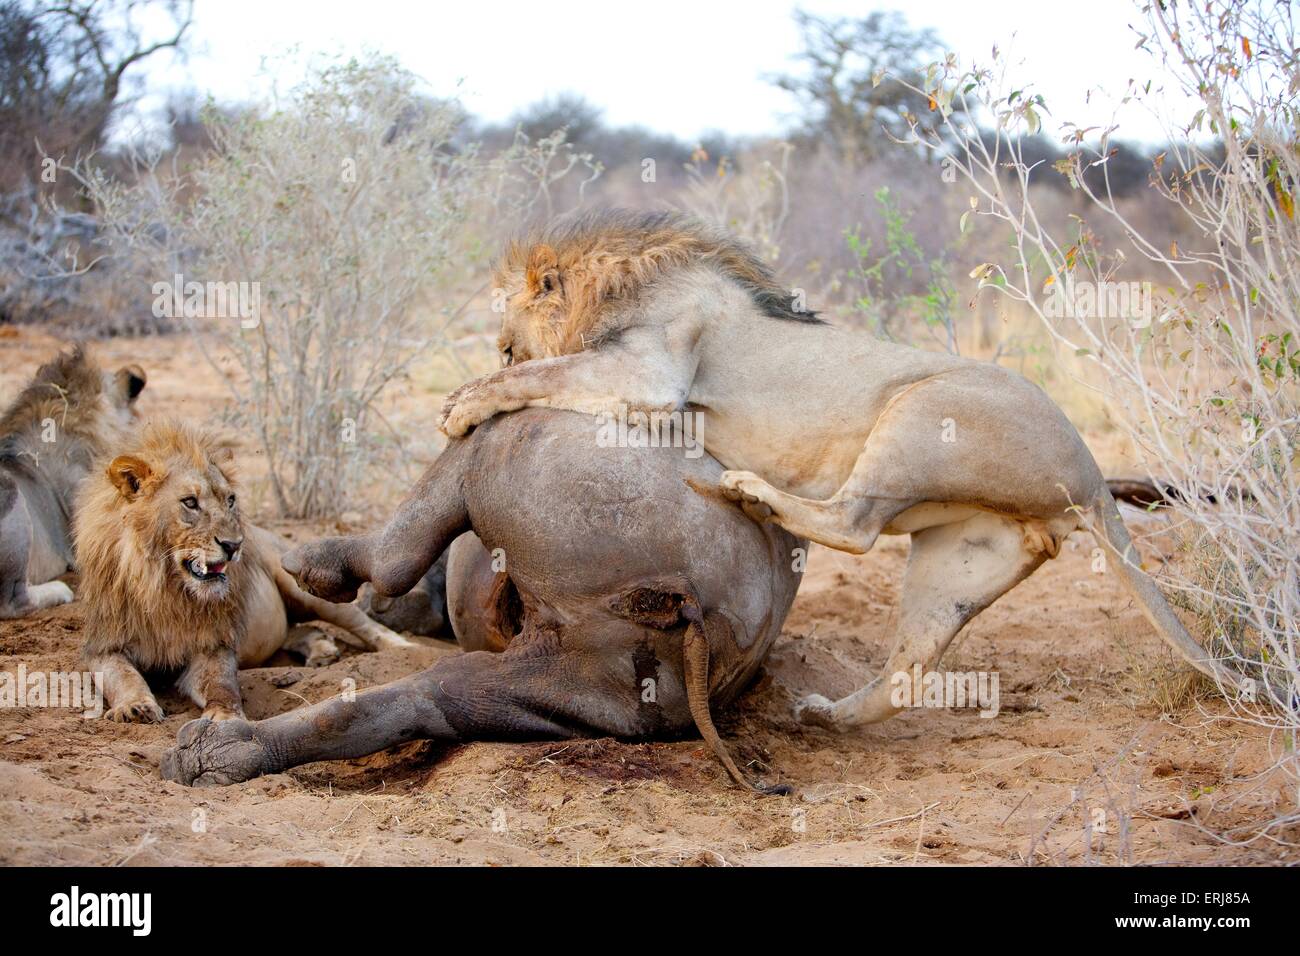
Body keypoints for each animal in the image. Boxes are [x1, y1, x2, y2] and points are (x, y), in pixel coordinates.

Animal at [73, 421, 408, 723]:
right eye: (190, 502)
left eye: (230, 500)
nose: (234, 545)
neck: (164, 587)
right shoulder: (103, 645)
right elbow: (122, 676)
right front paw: (135, 706)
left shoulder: (214, 645)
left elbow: (221, 684)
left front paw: (225, 718)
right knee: (296, 630)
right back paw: (321, 650)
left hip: (305, 587)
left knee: (363, 623)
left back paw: (403, 649)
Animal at [441, 210, 1242, 733]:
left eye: (505, 343)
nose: (496, 353)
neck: (622, 287)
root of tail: (1092, 472)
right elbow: (550, 370)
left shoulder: (650, 373)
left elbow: (546, 373)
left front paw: (460, 404)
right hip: (959, 555)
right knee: (907, 671)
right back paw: (827, 715)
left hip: (922, 411)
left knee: (854, 525)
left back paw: (748, 491)